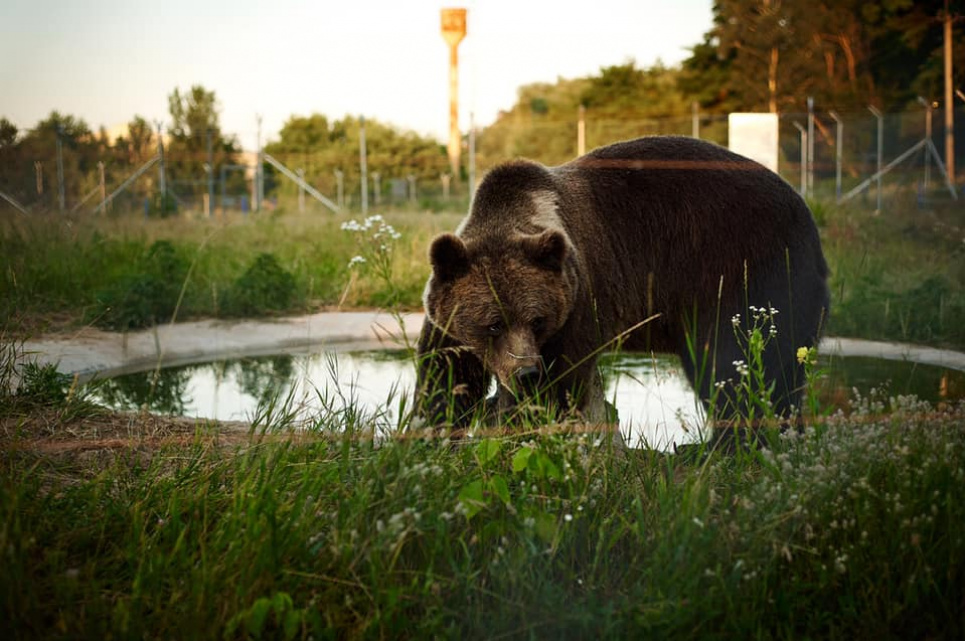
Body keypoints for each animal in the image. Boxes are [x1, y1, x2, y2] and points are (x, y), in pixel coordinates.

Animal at [414, 135, 828, 440]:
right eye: (494, 323)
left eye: (537, 320)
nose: (526, 372)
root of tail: (807, 215)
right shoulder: (449, 320)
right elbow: (446, 376)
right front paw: (436, 427)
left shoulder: (580, 301)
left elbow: (564, 377)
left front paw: (530, 420)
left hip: (744, 268)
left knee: (737, 364)